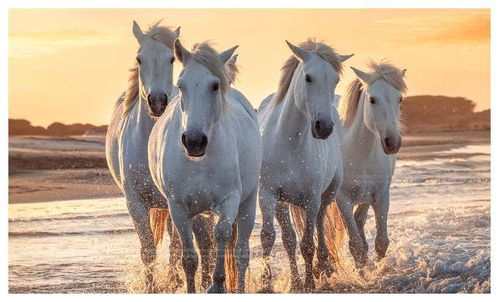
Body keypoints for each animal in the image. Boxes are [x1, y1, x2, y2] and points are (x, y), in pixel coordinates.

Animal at [104, 20, 216, 290]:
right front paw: (151, 286)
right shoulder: (135, 204)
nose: (157, 102)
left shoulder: (177, 203)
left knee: (205, 244)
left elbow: (178, 248)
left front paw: (175, 282)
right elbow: (148, 251)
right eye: (139, 58)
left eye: (171, 59)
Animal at [148, 39, 262, 292]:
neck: (201, 163)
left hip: (248, 204)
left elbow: (221, 234)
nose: (194, 141)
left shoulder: (230, 200)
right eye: (181, 86)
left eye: (214, 85)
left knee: (241, 253)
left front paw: (217, 284)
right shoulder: (178, 207)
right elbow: (190, 258)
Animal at [258, 39, 356, 292]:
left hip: (326, 194)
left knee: (319, 226)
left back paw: (323, 266)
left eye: (335, 79)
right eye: (308, 77)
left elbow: (308, 244)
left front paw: (310, 283)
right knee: (290, 239)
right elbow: (271, 237)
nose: (324, 127)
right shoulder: (268, 195)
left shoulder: (311, 198)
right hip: (283, 203)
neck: (289, 142)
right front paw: (267, 284)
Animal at [332, 60, 406, 266]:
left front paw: (379, 269)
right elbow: (356, 247)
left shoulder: (381, 195)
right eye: (372, 99)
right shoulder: (342, 199)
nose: (392, 142)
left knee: (359, 220)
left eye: (399, 99)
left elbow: (381, 242)